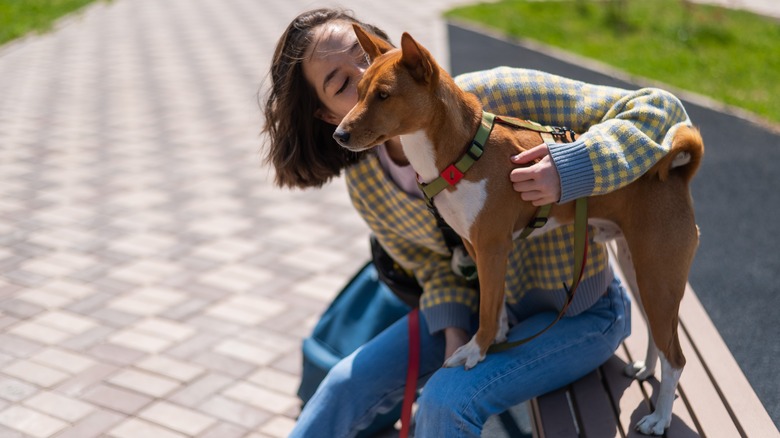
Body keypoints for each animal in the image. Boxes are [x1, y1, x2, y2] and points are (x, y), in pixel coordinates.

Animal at [336, 25, 708, 436]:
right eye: (357, 91)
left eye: (384, 95)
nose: (339, 134)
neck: (463, 152)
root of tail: (674, 174)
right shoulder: (478, 249)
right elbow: (494, 302)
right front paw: (497, 337)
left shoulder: (492, 247)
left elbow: (485, 309)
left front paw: (477, 350)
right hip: (640, 270)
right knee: (660, 337)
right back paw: (646, 370)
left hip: (658, 276)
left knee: (677, 357)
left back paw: (660, 418)